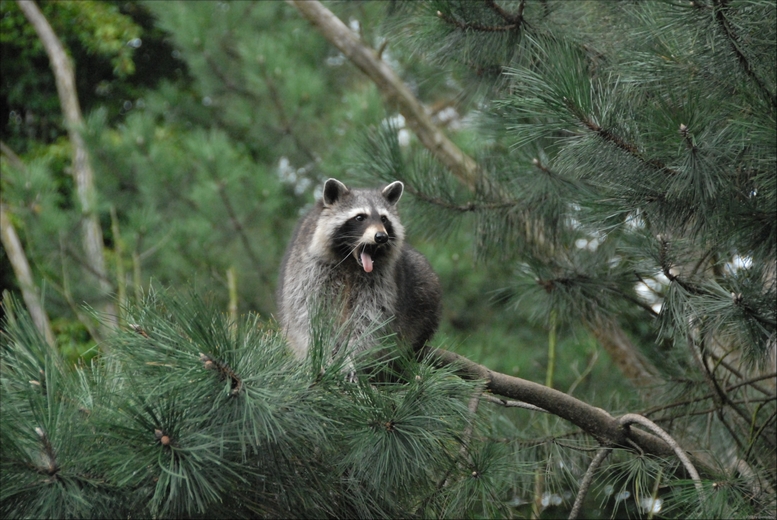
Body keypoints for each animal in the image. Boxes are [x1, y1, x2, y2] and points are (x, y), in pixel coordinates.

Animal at [276, 178, 440, 362]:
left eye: (384, 219)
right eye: (360, 217)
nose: (381, 237)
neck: (351, 262)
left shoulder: (381, 279)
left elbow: (369, 319)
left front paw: (349, 356)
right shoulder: (310, 269)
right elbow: (309, 312)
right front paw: (321, 352)